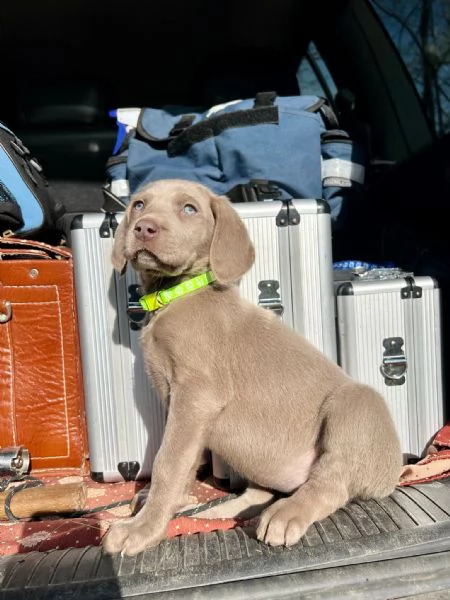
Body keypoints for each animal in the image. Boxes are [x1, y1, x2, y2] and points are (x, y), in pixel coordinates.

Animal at [103, 178, 402, 556]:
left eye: (189, 208)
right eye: (139, 205)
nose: (144, 228)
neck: (176, 294)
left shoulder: (197, 395)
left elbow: (168, 461)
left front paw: (143, 529)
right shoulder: (178, 403)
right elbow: (185, 460)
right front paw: (170, 504)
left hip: (355, 404)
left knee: (330, 482)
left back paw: (286, 513)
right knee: (264, 490)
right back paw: (228, 511)